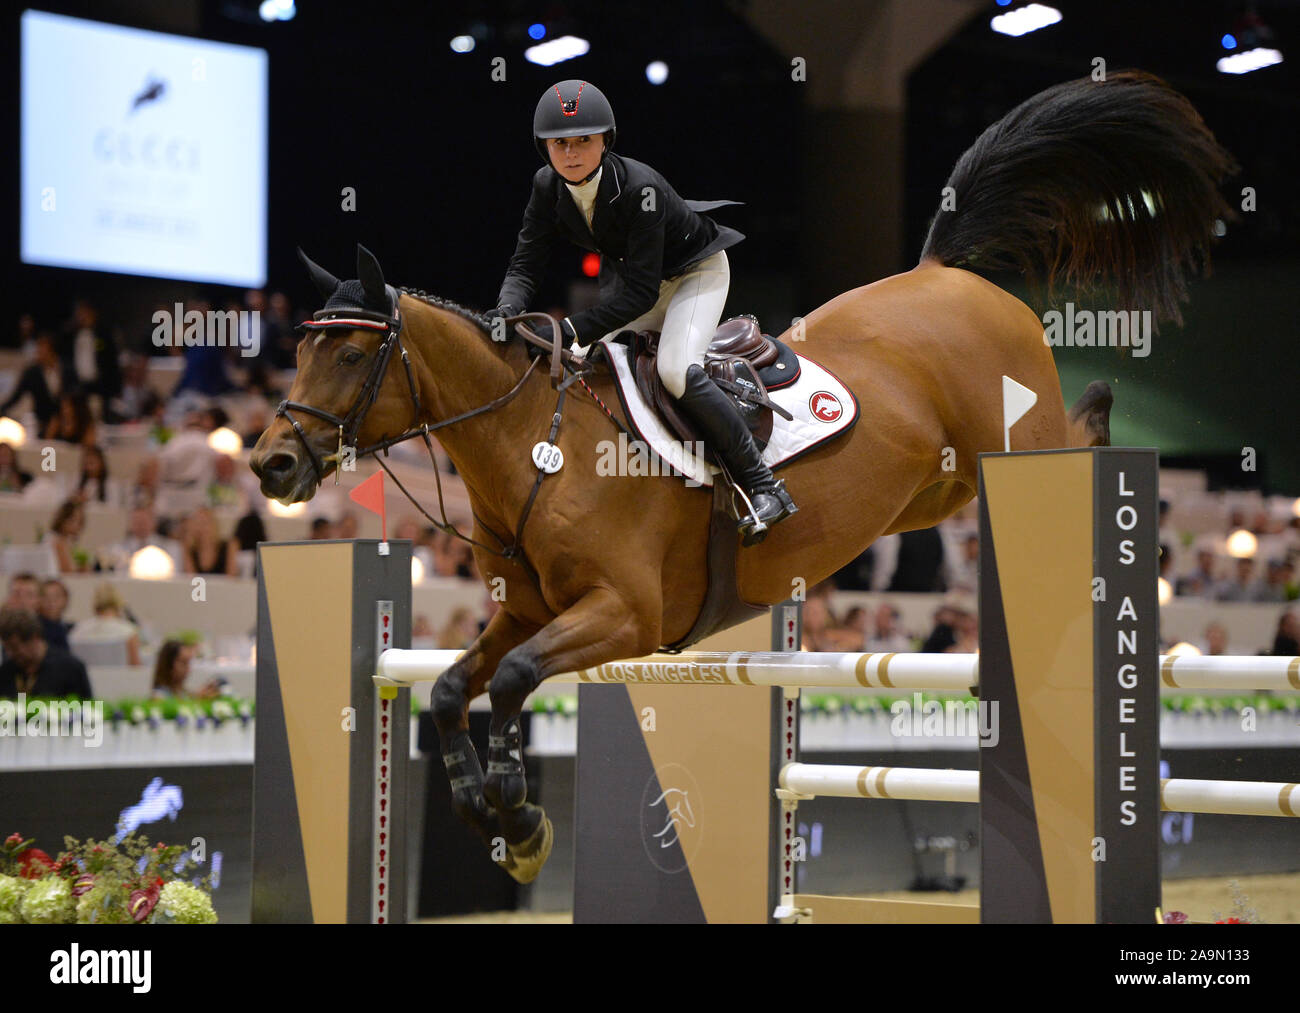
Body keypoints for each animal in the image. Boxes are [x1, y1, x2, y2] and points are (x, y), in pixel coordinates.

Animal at [253, 73, 1237, 879]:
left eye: (349, 354)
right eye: (298, 350)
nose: (272, 461)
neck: (536, 443)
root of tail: (943, 273)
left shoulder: (625, 615)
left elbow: (512, 679)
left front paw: (521, 817)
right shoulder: (530, 607)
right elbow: (457, 684)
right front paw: (492, 813)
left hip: (1010, 446)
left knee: (1071, 433)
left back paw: (1106, 426)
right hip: (940, 491)